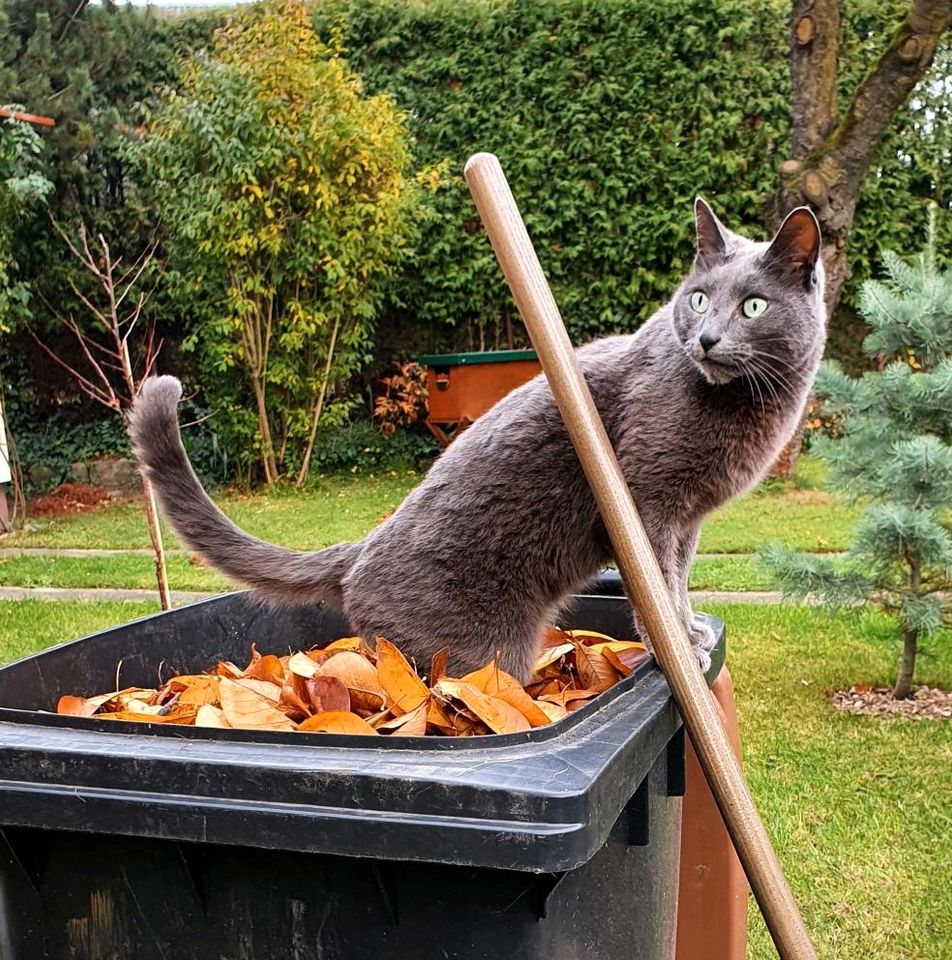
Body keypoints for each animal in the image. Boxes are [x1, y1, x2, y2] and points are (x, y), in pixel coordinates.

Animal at [130, 201, 820, 684]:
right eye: (698, 299)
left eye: (753, 306)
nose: (704, 339)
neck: (746, 405)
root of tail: (360, 550)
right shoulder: (650, 502)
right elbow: (659, 584)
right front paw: (677, 645)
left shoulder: (690, 517)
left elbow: (680, 579)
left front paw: (693, 629)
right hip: (475, 652)